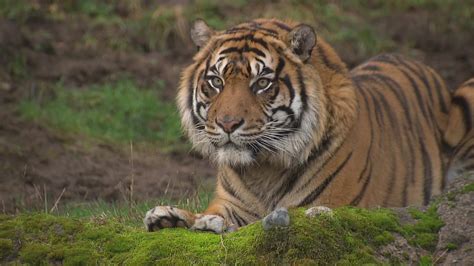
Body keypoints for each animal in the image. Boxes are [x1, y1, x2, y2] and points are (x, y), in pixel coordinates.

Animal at [143, 18, 474, 233]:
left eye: (262, 83)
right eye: (216, 81)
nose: (227, 124)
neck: (262, 169)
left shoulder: (335, 201)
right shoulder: (231, 204)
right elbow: (210, 213)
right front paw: (172, 216)